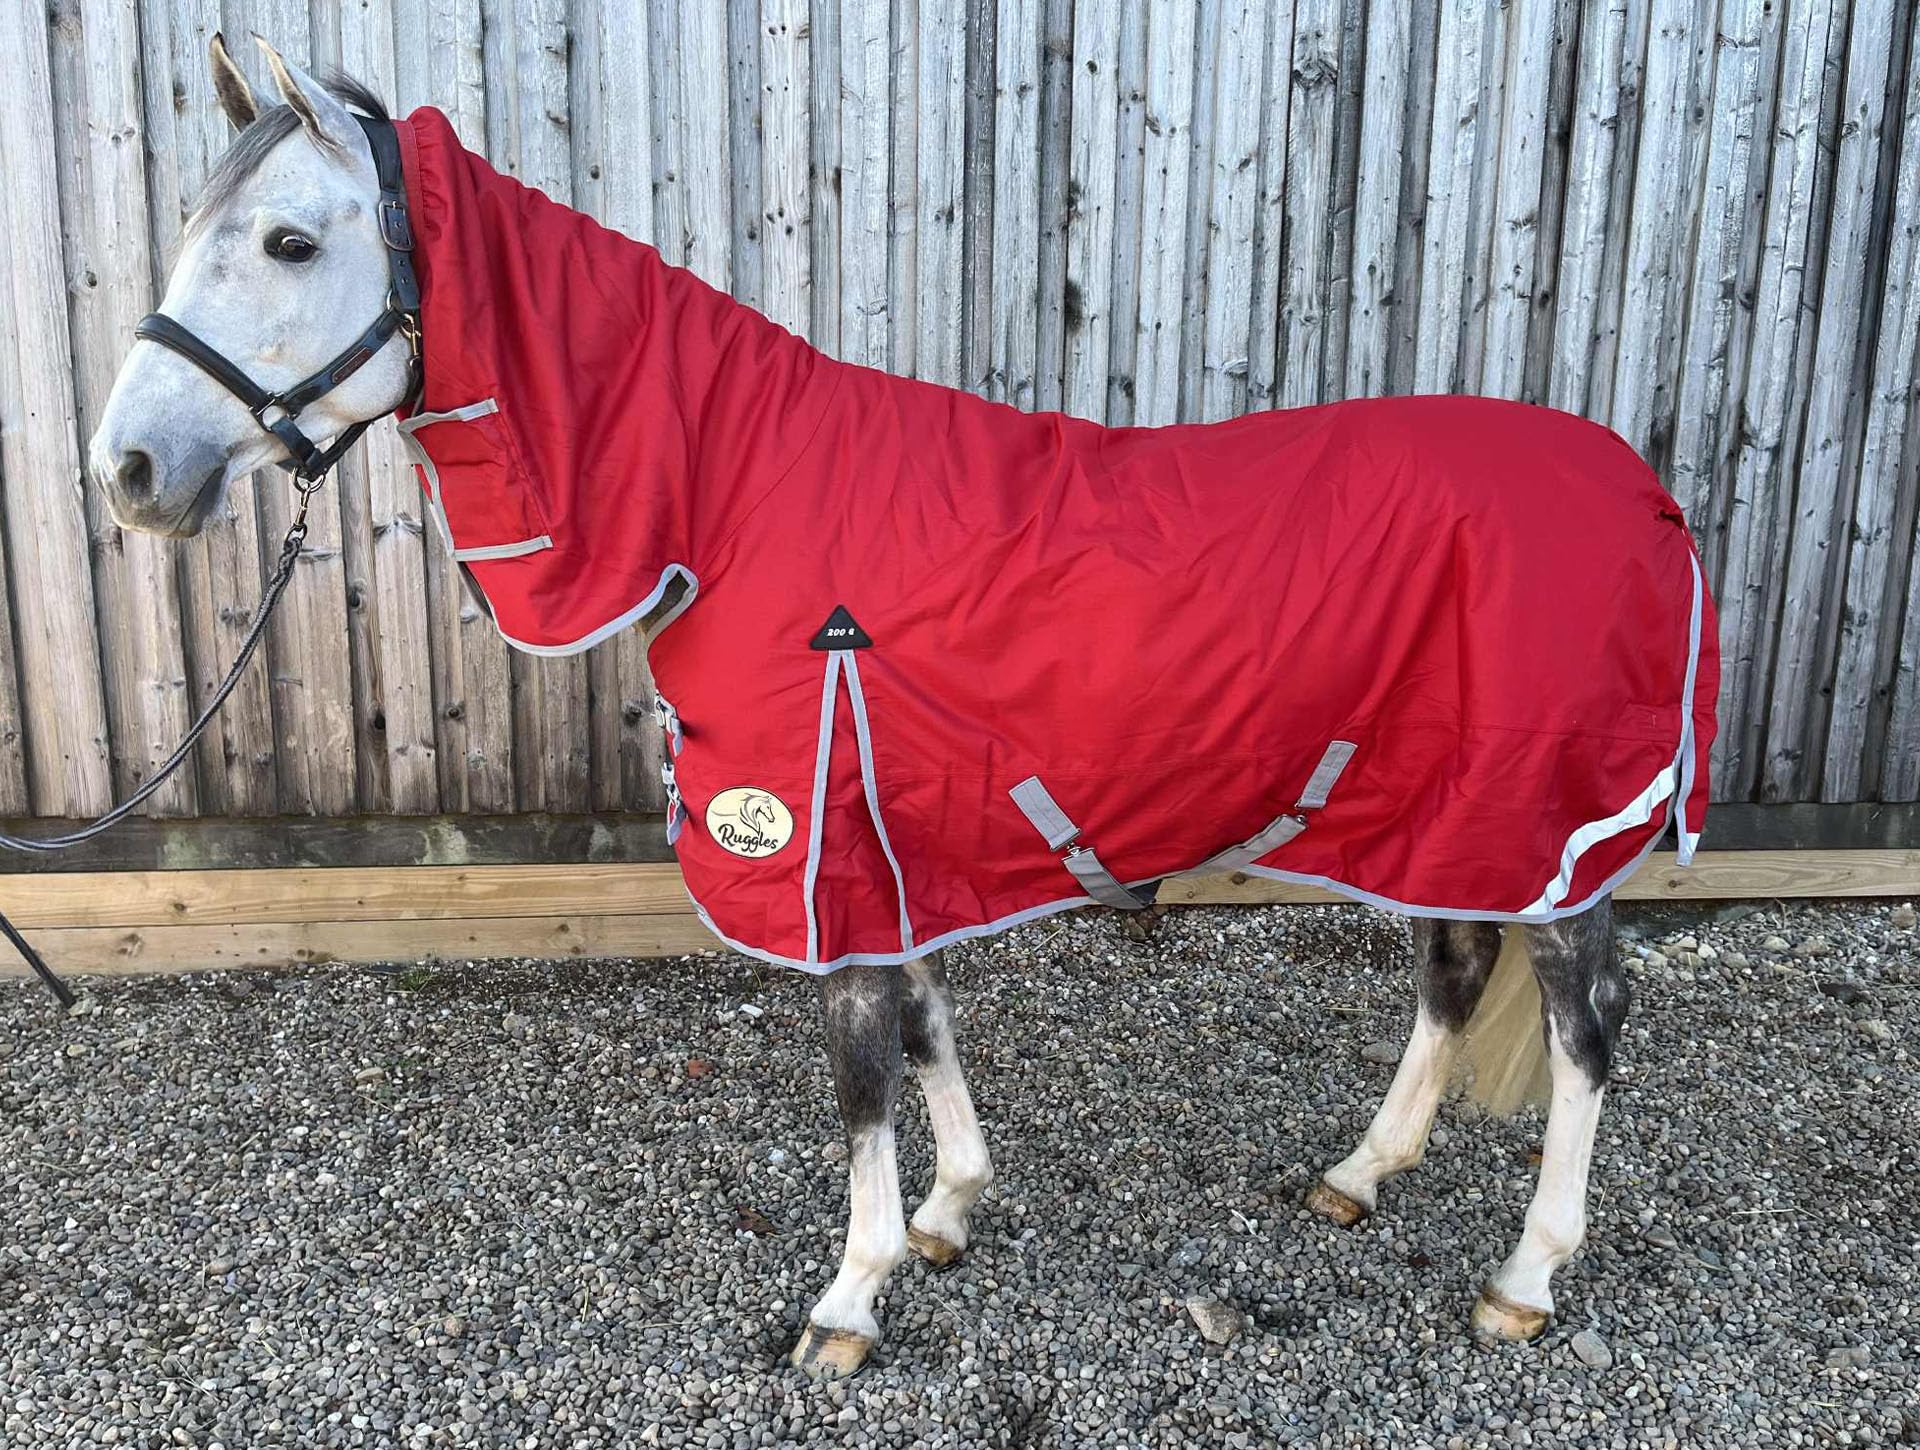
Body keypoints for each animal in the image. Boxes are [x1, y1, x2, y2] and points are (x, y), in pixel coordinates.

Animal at [90, 37, 1714, 1380]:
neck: (731, 500)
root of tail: (1644, 494)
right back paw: (1360, 1175)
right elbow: (925, 1025)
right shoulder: (883, 826)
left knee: (1586, 1026)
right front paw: (948, 1211)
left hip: (1555, 822)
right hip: (1448, 809)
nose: (128, 471)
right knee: (1451, 971)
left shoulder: (814, 834)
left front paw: (849, 1298)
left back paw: (1525, 1277)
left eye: (289, 238)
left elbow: (864, 1070)